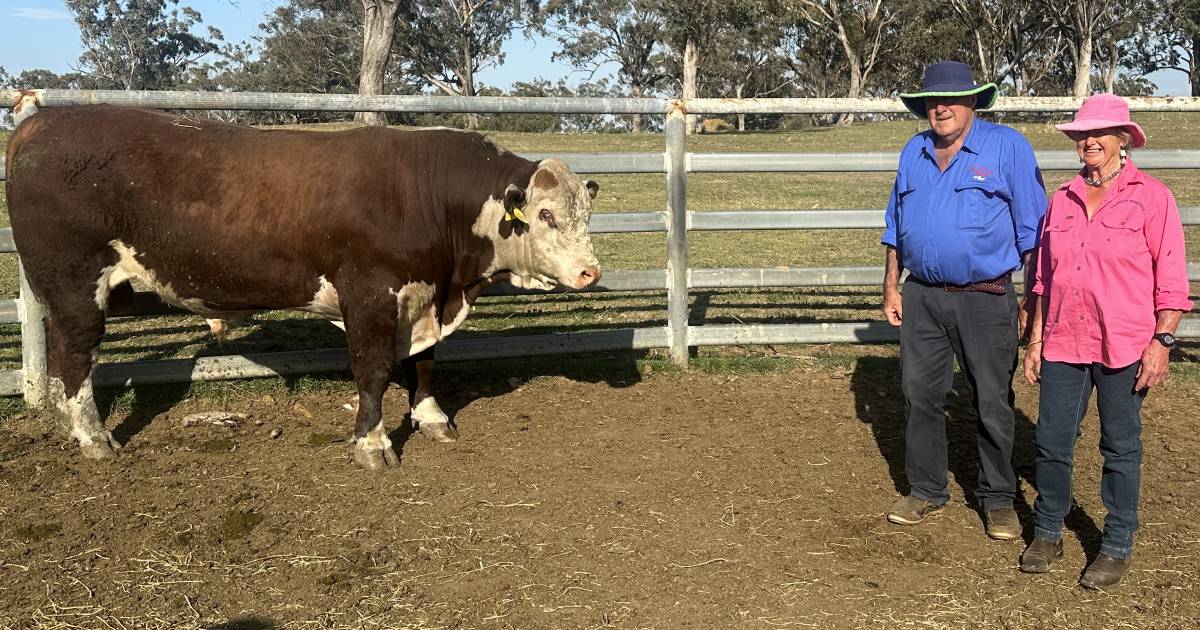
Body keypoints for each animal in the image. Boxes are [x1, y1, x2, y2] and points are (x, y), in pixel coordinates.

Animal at [0, 104, 600, 465]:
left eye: (585, 212)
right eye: (545, 214)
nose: (590, 272)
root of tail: (42, 122)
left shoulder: (422, 297)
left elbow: (424, 362)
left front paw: (430, 417)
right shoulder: (370, 296)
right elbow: (373, 369)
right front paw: (372, 443)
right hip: (75, 282)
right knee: (76, 355)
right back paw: (93, 437)